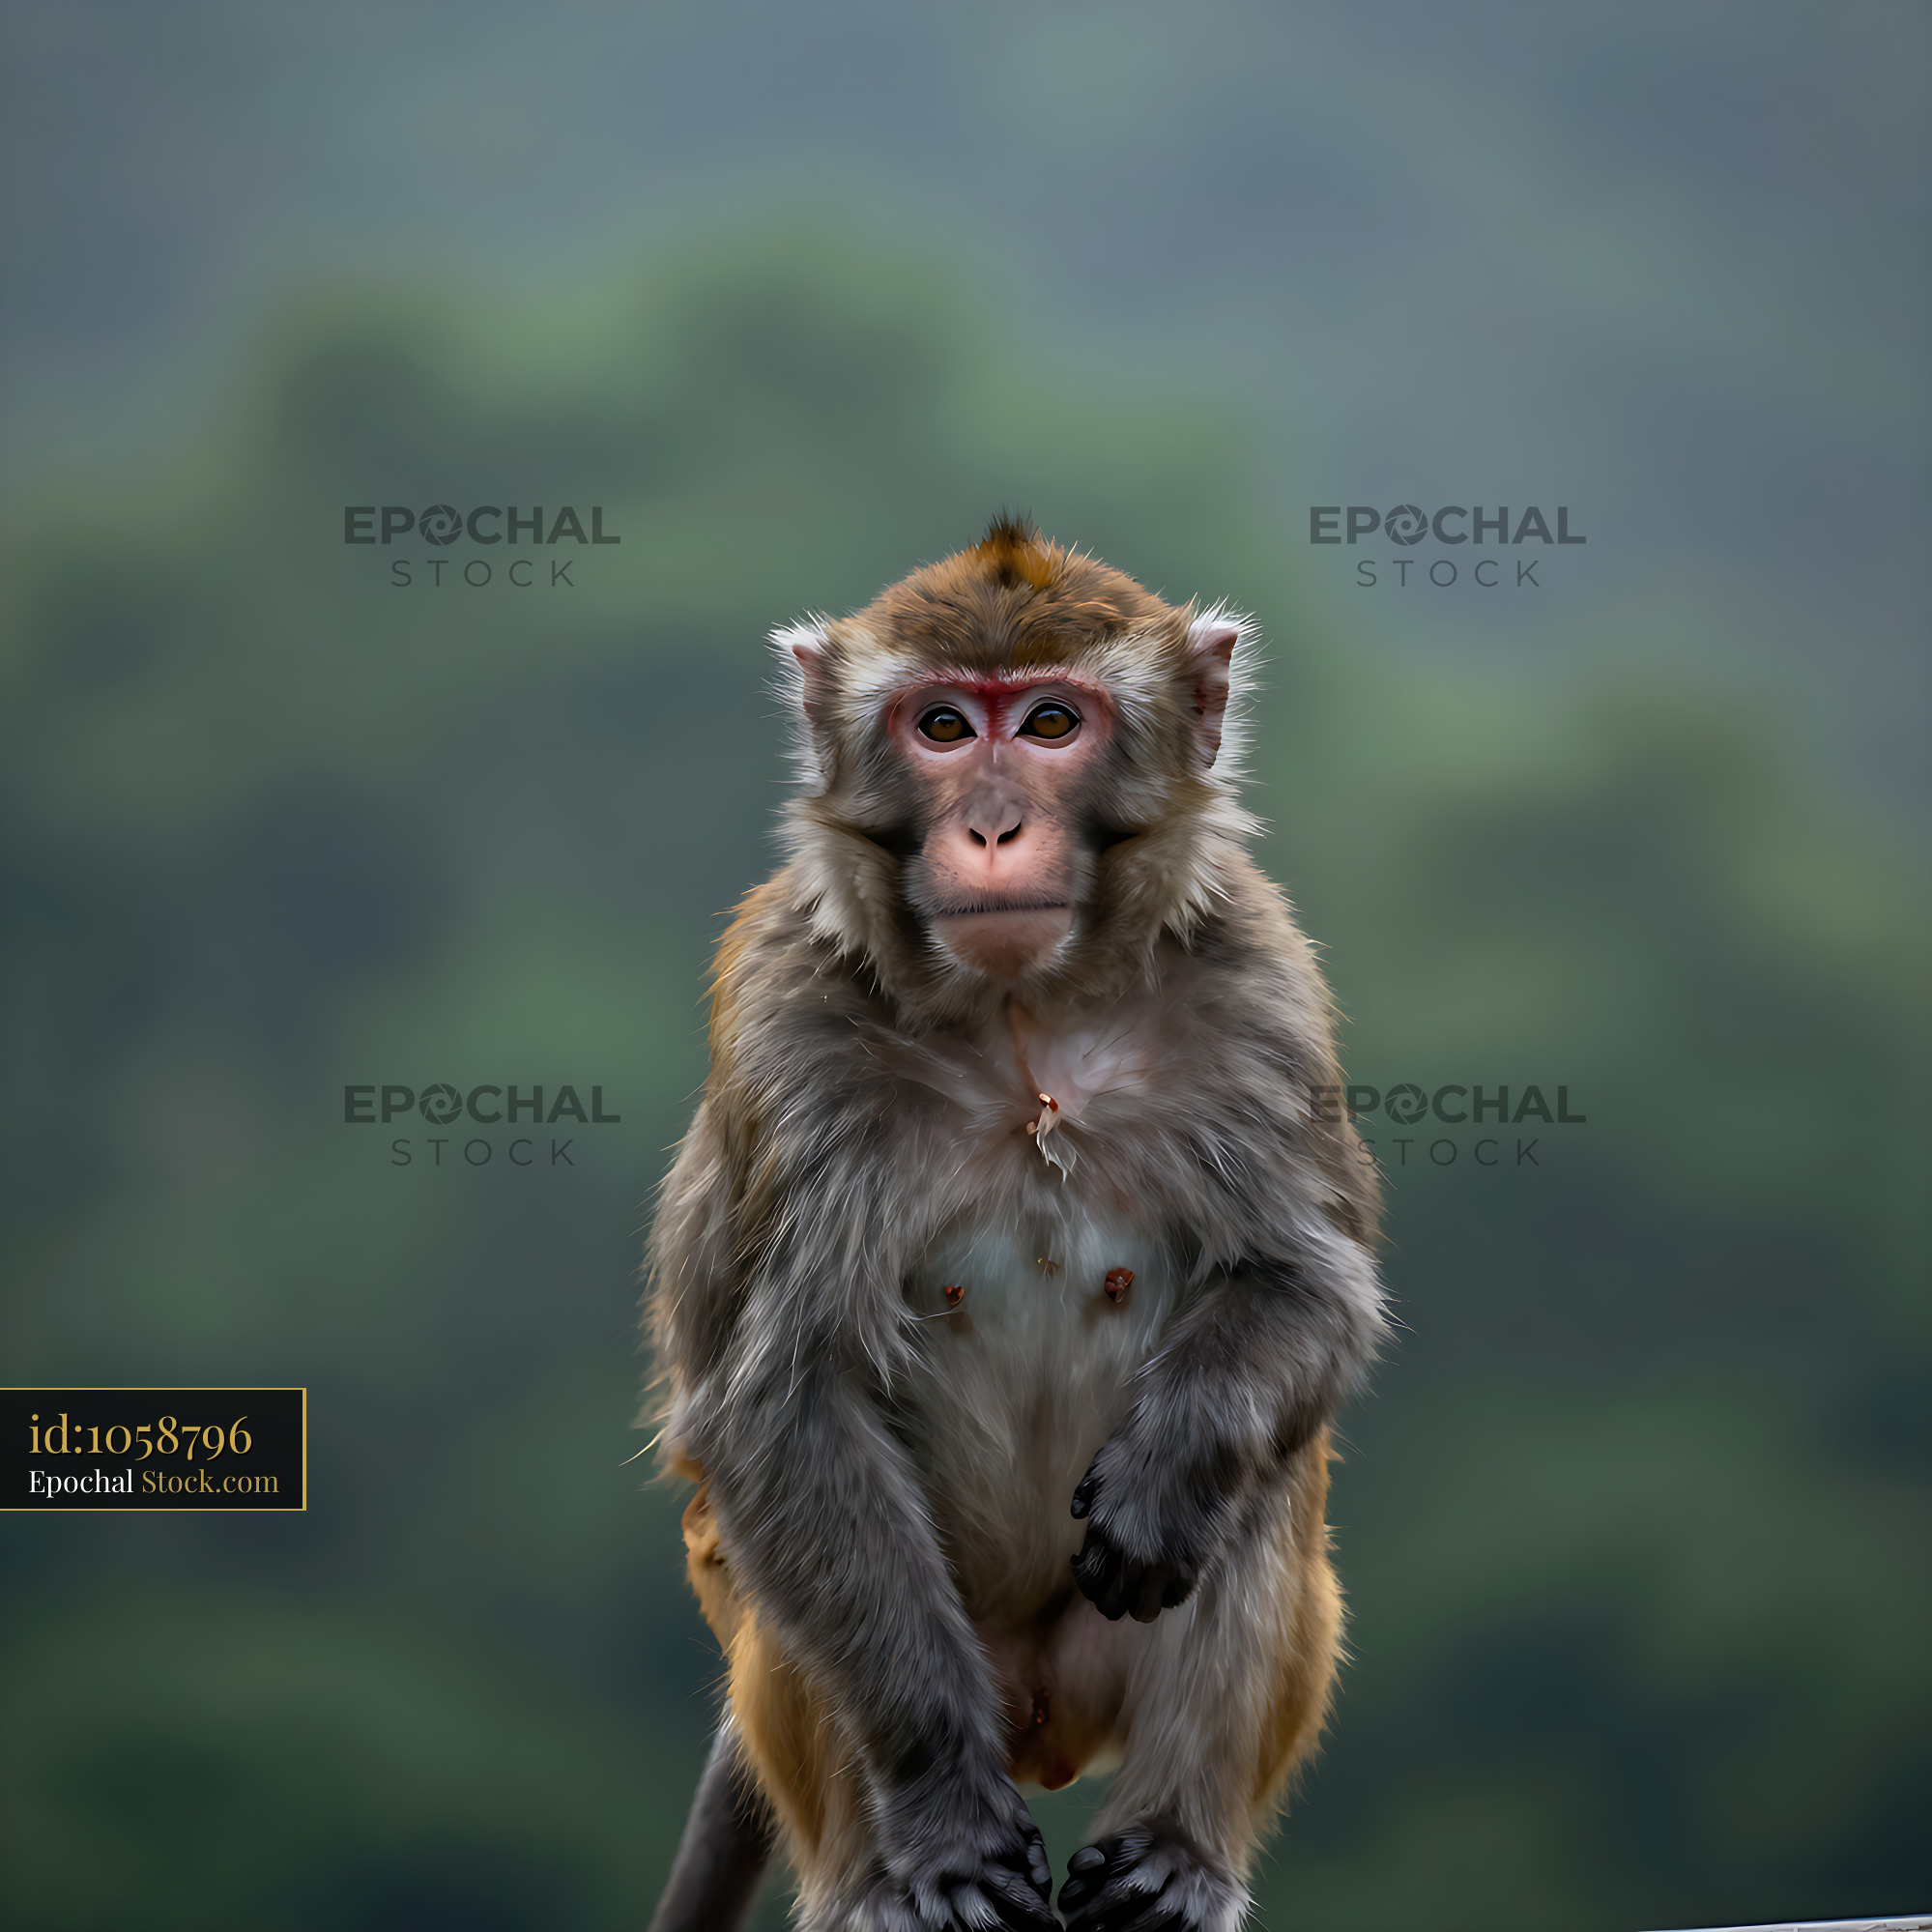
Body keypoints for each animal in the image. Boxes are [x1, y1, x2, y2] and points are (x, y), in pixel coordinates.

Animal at [644, 517, 1384, 1932]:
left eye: (1049, 722)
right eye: (941, 725)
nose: (991, 826)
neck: (1026, 1017)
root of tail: (1041, 1718)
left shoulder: (1258, 984)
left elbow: (1303, 1283)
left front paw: (1169, 1467)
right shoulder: (787, 1028)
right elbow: (782, 1400)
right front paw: (944, 1820)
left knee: (1263, 1480)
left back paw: (1174, 1852)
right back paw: (882, 1880)